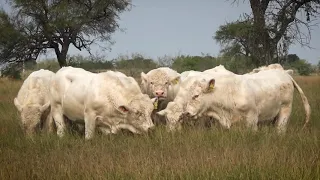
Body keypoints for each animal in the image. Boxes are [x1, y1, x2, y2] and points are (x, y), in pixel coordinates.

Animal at [184, 69, 312, 134]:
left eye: (196, 96)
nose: (186, 113)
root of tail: (286, 74)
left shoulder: (252, 119)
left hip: (285, 109)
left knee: (280, 128)